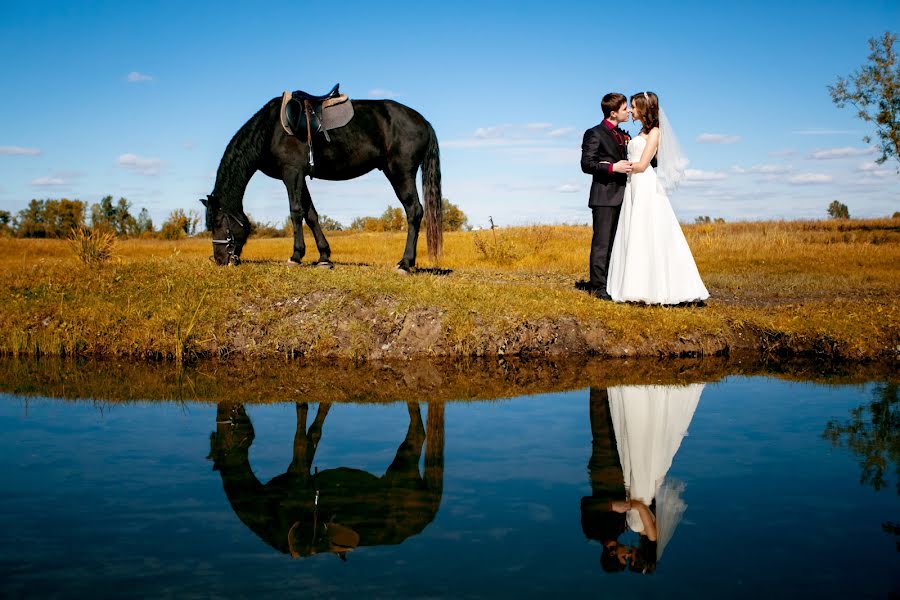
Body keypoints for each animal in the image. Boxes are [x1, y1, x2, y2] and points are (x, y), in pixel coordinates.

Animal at [202, 90, 444, 270]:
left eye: (217, 222)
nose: (220, 259)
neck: (269, 130)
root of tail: (423, 121)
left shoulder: (291, 173)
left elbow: (295, 212)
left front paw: (296, 256)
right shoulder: (299, 176)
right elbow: (311, 215)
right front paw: (324, 257)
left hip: (401, 173)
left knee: (414, 211)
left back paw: (405, 263)